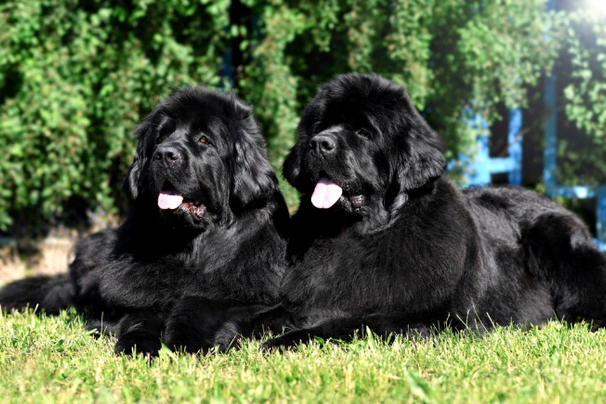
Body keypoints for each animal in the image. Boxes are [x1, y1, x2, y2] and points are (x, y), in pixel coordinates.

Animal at [0, 87, 290, 356]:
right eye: (159, 139)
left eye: (204, 139)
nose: (164, 154)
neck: (188, 250)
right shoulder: (137, 293)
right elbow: (140, 315)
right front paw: (136, 346)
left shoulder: (248, 298)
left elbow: (199, 303)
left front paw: (187, 342)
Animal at [264, 73, 606, 350]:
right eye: (320, 127)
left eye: (364, 132)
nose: (319, 143)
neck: (357, 233)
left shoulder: (432, 319)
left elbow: (353, 322)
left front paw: (285, 341)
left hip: (554, 242)